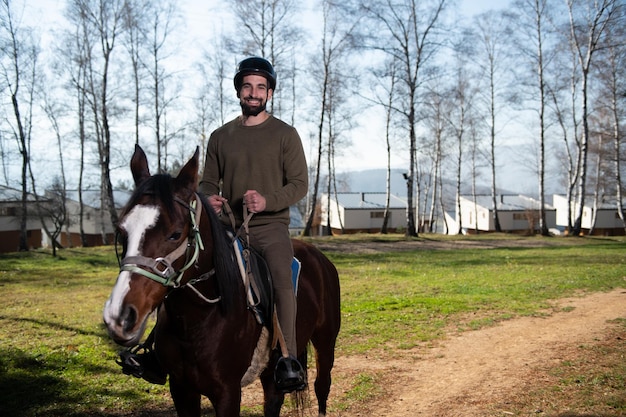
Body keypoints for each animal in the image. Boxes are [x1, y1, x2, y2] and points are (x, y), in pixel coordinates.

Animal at [104, 145, 342, 414]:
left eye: (175, 234)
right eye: (122, 231)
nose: (119, 316)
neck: (197, 320)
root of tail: (320, 258)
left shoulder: (228, 392)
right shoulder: (181, 388)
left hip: (325, 343)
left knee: (322, 388)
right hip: (271, 370)